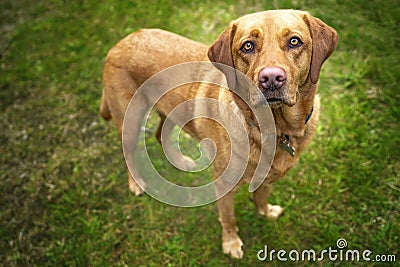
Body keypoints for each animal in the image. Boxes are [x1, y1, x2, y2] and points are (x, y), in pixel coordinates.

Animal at [100, 9, 338, 258]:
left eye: (294, 41)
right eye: (248, 46)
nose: (271, 78)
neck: (275, 128)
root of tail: (121, 41)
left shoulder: (269, 178)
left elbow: (261, 198)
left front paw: (266, 212)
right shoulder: (224, 185)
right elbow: (228, 218)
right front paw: (231, 243)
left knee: (159, 134)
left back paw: (181, 161)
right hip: (131, 121)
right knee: (128, 153)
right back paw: (136, 184)